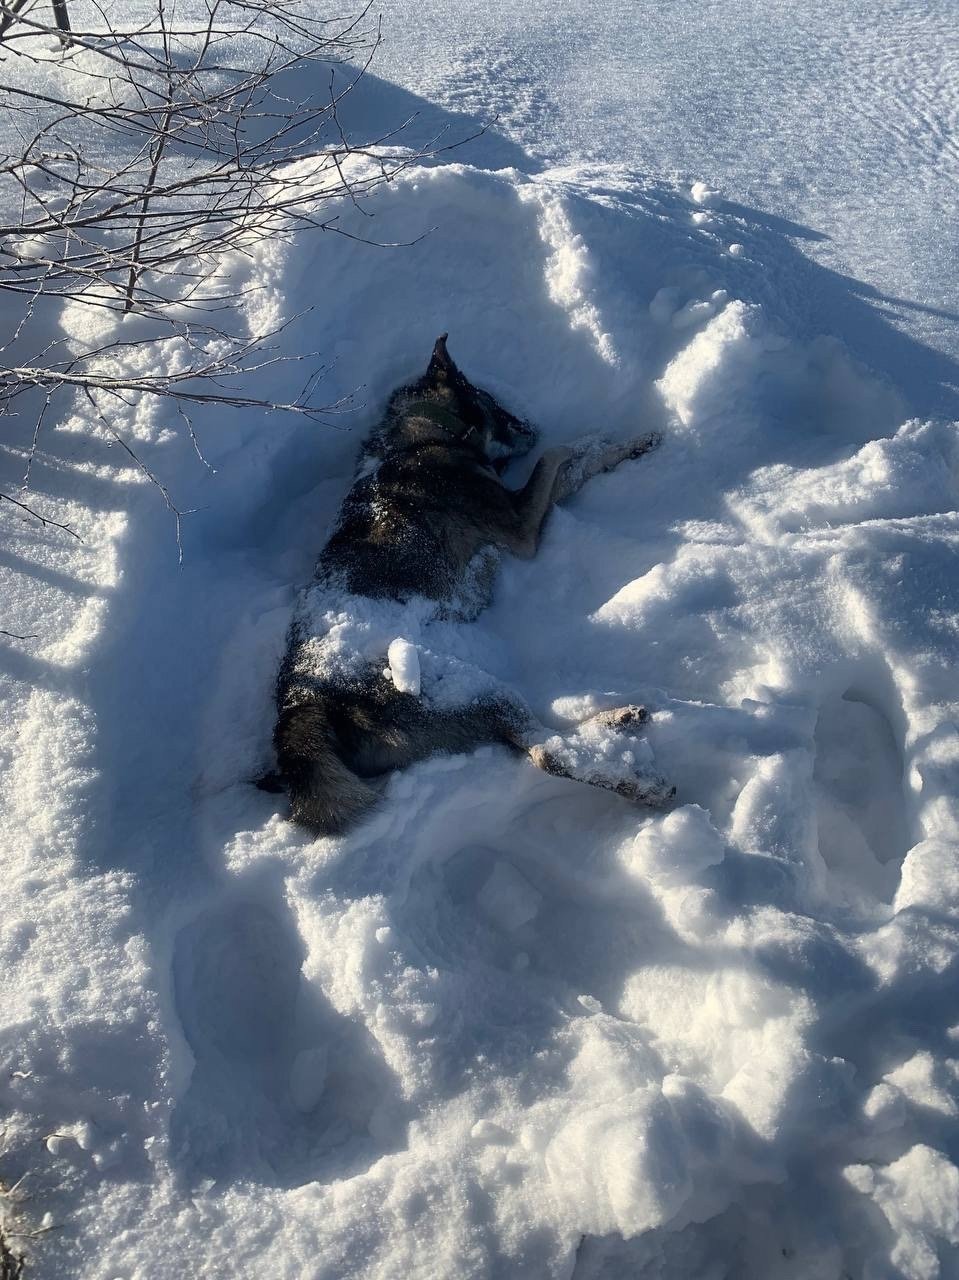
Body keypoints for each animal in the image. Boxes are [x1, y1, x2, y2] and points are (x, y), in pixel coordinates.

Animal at [265, 330, 670, 834]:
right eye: (494, 403)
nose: (533, 424)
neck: (424, 434)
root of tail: (303, 705)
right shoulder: (520, 526)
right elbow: (561, 455)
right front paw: (613, 440)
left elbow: (573, 461)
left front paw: (629, 444)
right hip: (464, 685)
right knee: (544, 751)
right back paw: (641, 778)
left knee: (531, 740)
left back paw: (621, 721)